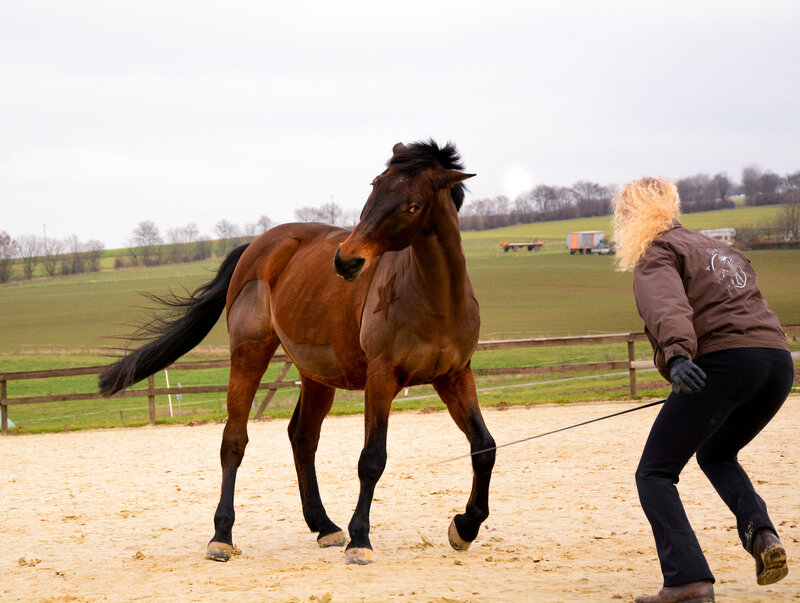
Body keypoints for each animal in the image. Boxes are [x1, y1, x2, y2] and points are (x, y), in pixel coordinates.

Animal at [99, 139, 496, 565]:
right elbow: (372, 458)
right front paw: (361, 540)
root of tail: (258, 245)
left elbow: (484, 447)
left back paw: (324, 525)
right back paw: (222, 535)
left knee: (302, 437)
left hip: (317, 376)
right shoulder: (382, 378)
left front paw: (465, 526)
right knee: (234, 441)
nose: (347, 259)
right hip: (249, 356)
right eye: (375, 185)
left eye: (414, 205)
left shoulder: (455, 376)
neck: (435, 299)